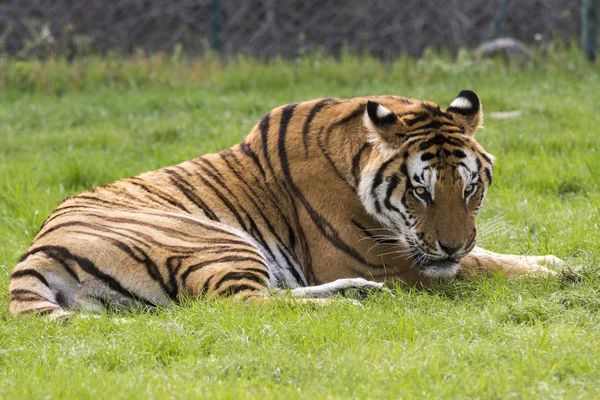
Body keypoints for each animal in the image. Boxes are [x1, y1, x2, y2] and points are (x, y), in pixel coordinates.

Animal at [8, 89, 564, 318]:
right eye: (421, 190)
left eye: (470, 188)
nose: (451, 244)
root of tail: (33, 253)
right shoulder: (387, 259)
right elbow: (479, 267)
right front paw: (560, 273)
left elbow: (487, 256)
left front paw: (552, 261)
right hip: (216, 240)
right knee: (240, 305)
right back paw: (346, 305)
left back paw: (356, 295)